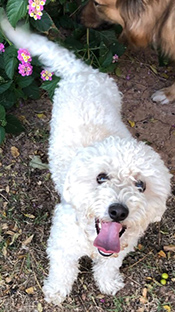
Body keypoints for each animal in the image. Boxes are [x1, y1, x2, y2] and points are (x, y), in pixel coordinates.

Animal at [1, 14, 171, 304]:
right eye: (101, 177)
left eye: (141, 185)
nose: (118, 211)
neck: (92, 237)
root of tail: (83, 71)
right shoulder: (61, 245)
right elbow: (62, 270)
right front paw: (56, 291)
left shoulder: (118, 249)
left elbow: (109, 265)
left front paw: (108, 282)